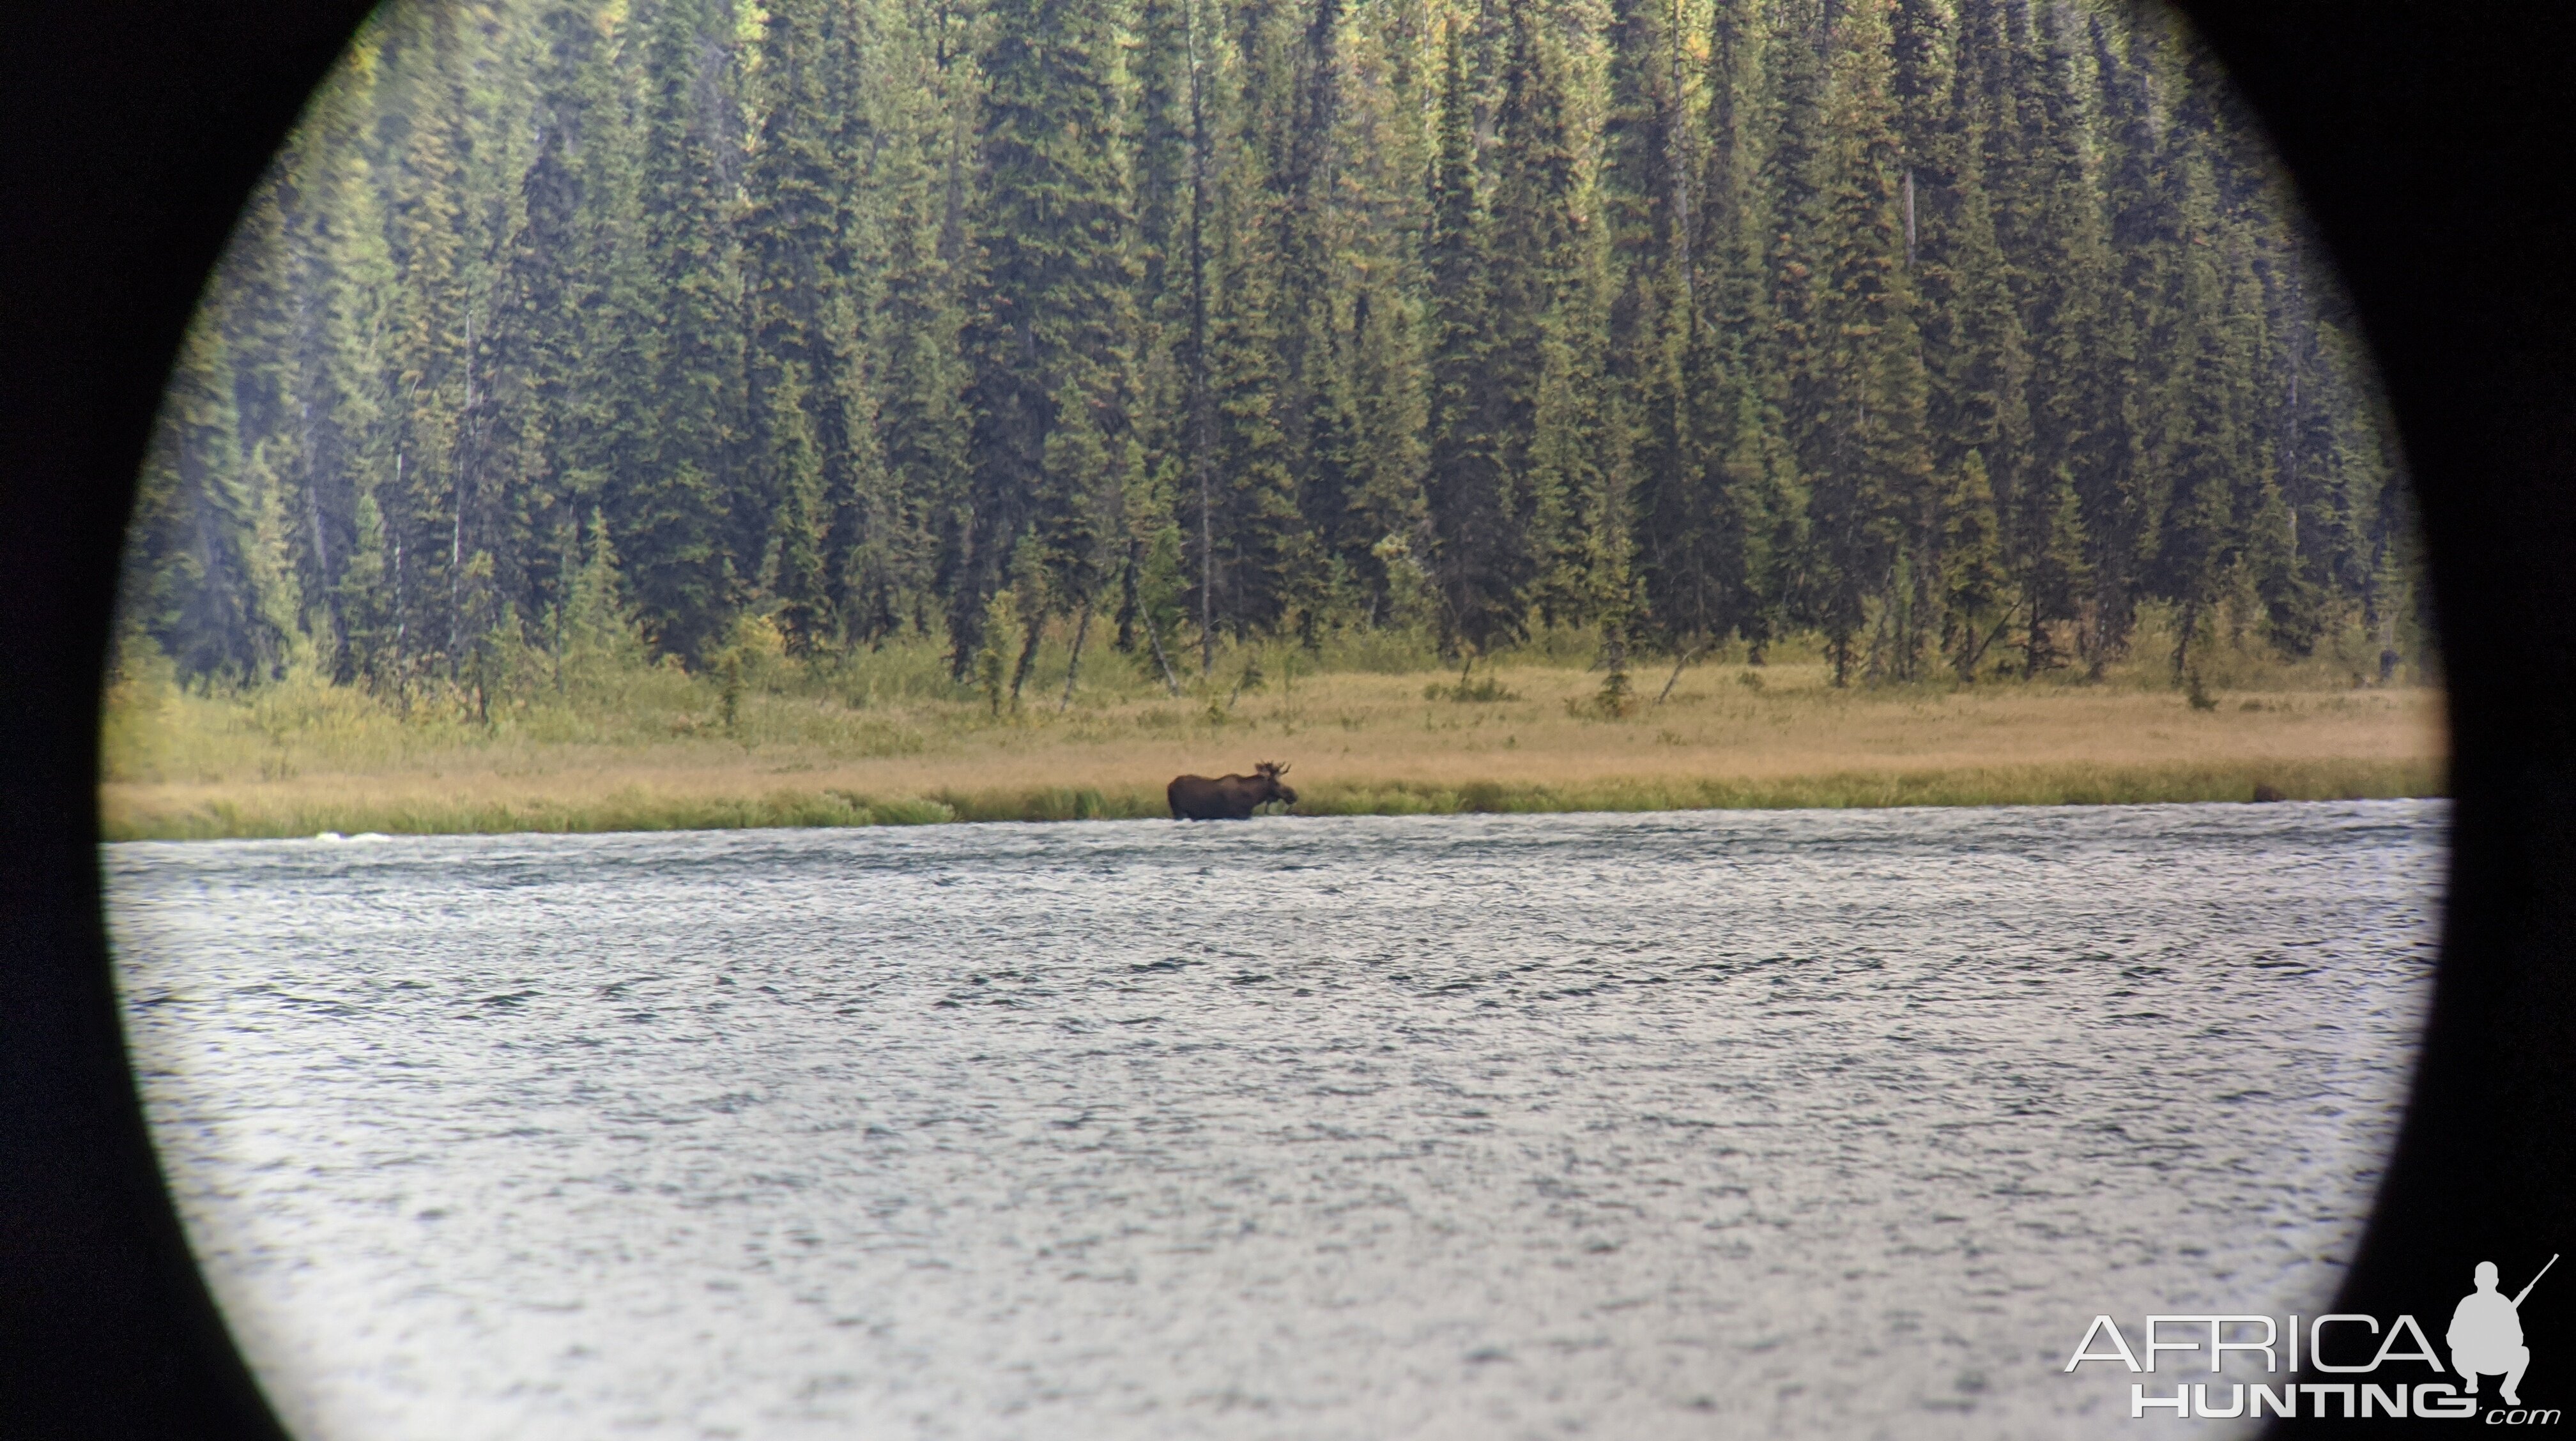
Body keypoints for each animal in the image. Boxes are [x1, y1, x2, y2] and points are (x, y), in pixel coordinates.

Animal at [1174, 761, 1298, 818]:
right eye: (1277, 783)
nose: (1294, 795)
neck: (1253, 797)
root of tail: (1171, 785)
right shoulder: (1237, 814)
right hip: (1179, 811)